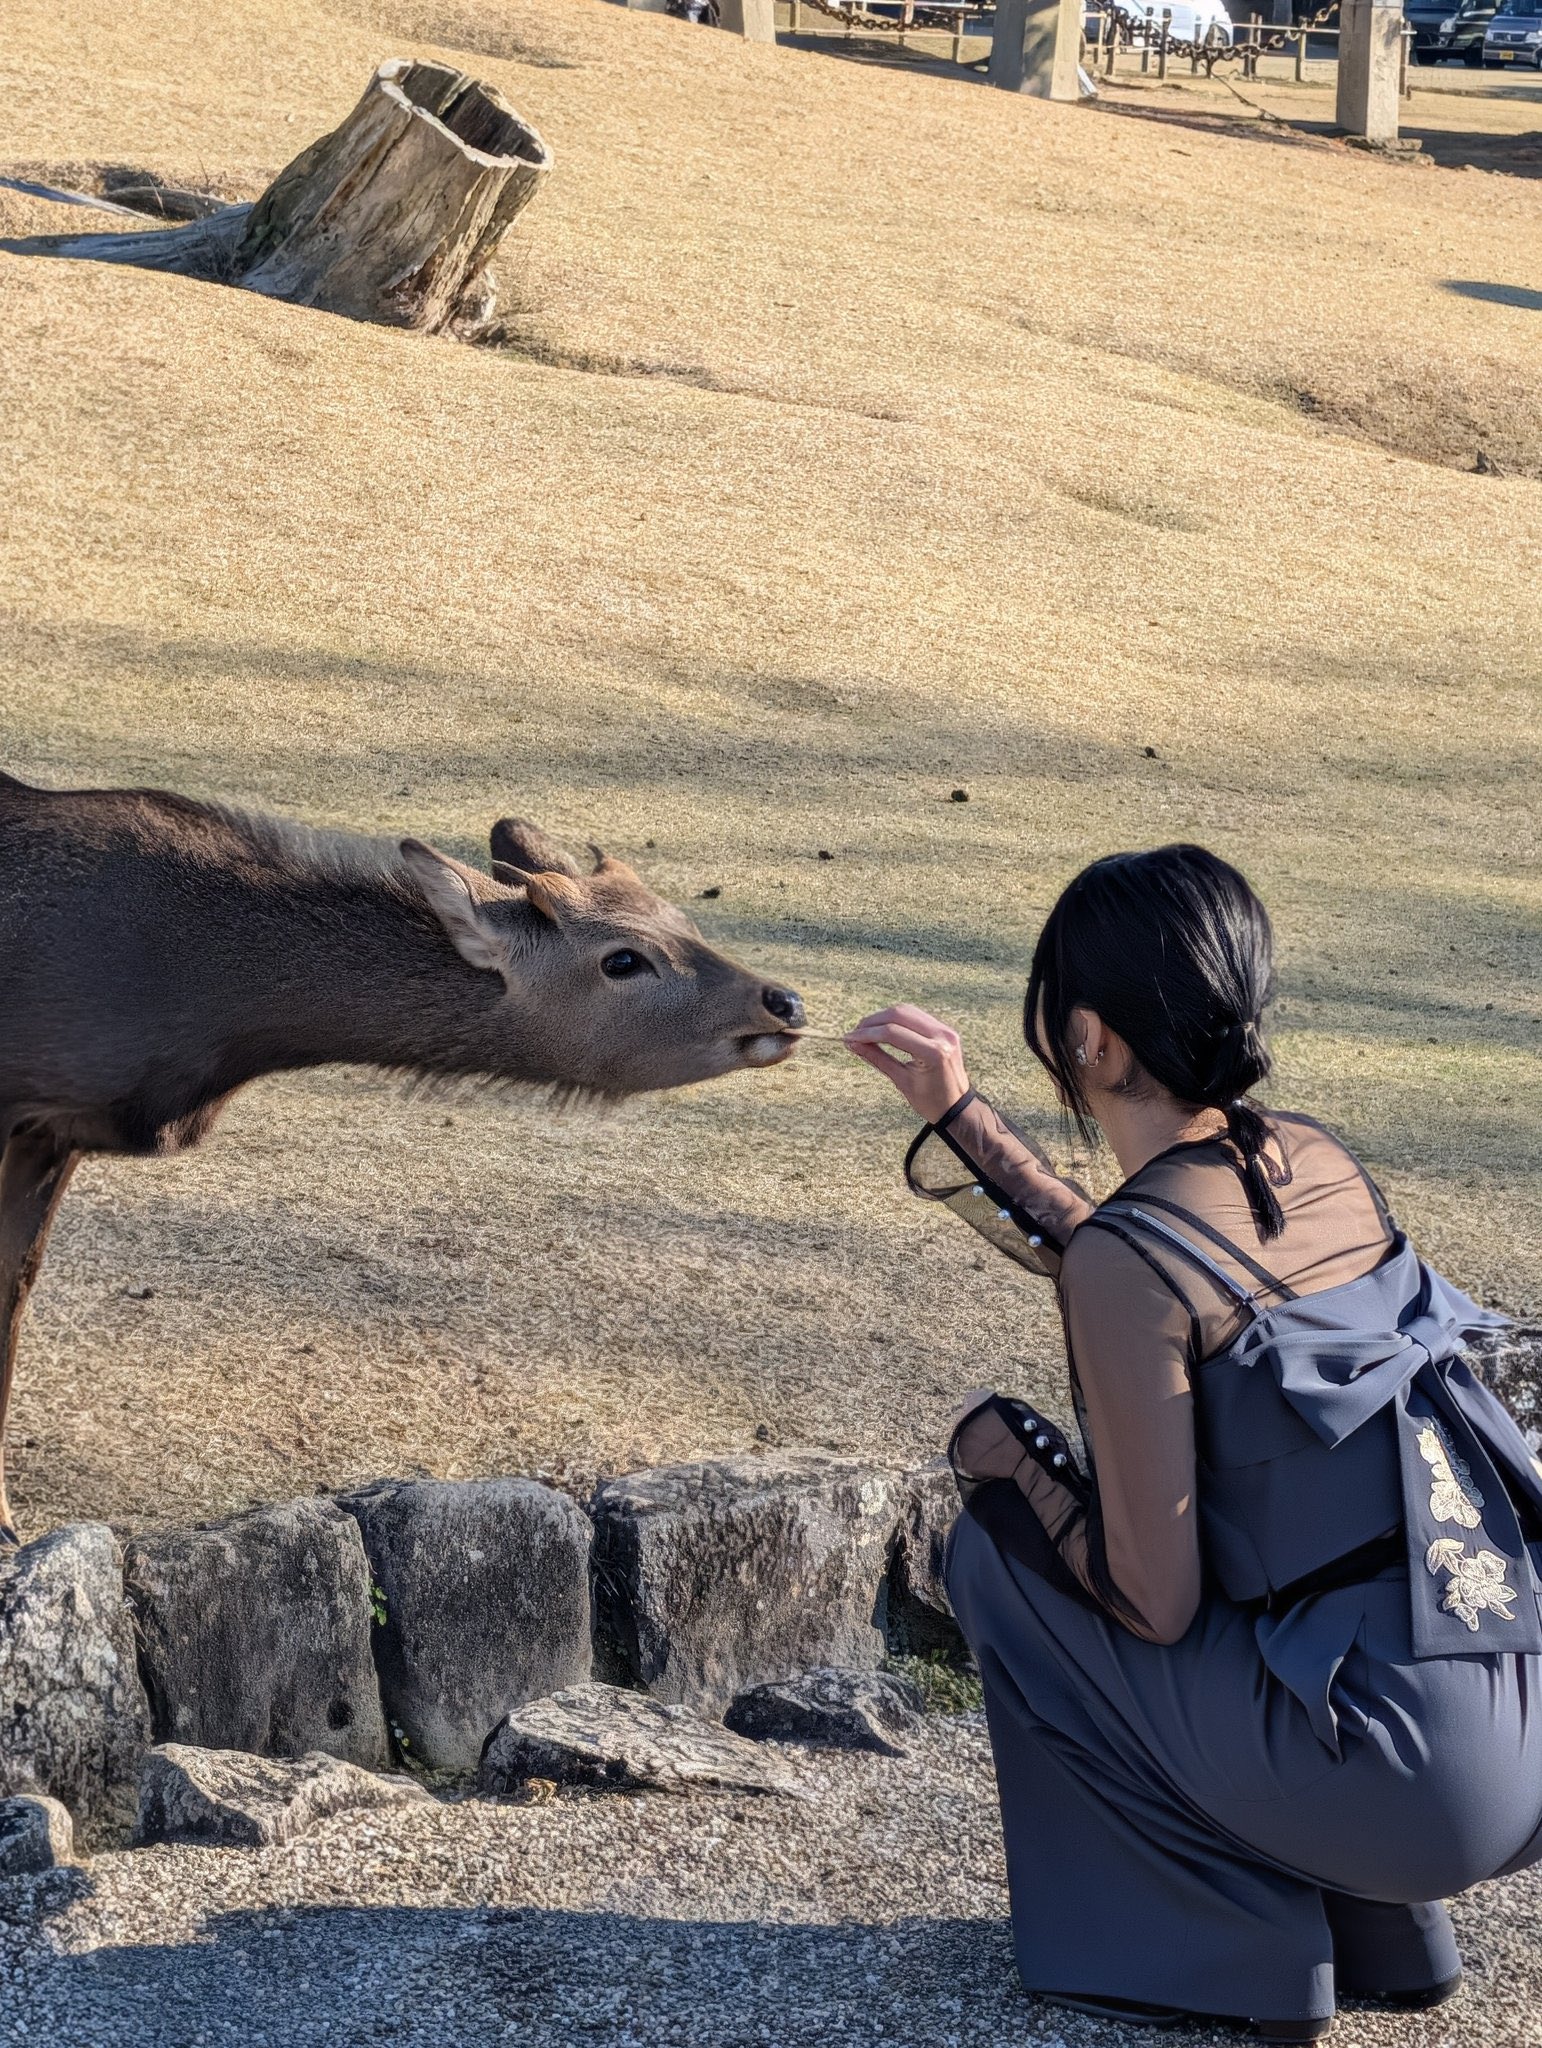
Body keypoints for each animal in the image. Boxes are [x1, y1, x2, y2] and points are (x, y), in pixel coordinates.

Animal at [0, 771, 807, 1547]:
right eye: (623, 959)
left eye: (683, 919)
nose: (784, 1002)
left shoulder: (58, 1131)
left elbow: (19, 1283)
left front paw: (10, 1521)